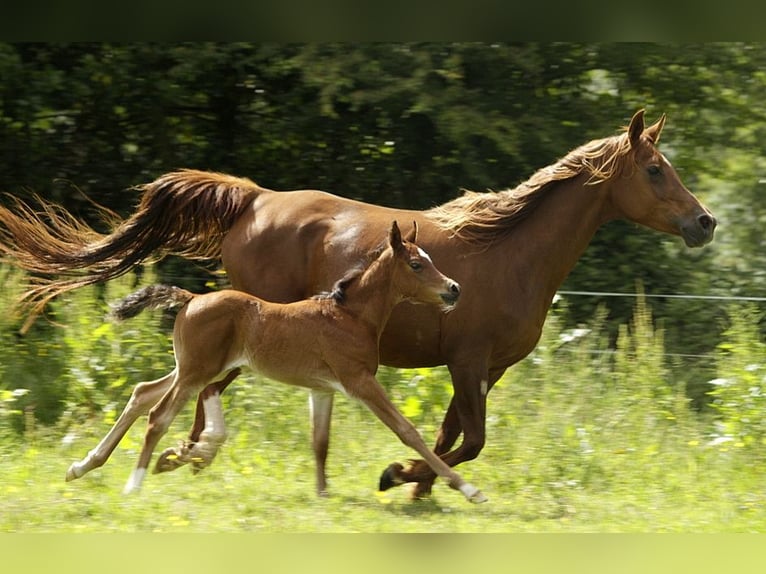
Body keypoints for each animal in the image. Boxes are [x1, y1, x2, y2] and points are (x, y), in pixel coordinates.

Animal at [66, 223, 486, 502]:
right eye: (416, 264)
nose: (454, 289)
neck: (351, 316)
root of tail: (190, 298)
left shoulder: (324, 389)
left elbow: (320, 441)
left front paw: (322, 493)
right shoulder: (359, 381)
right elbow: (407, 431)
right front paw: (469, 489)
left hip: (190, 367)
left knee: (142, 394)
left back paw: (82, 466)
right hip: (196, 372)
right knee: (158, 416)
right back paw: (132, 484)